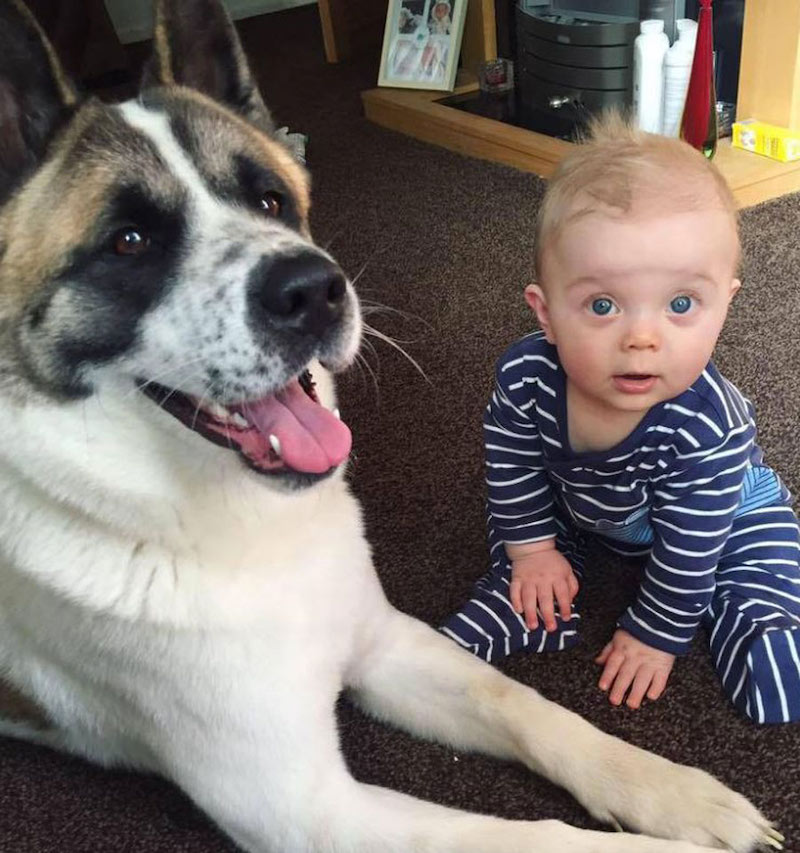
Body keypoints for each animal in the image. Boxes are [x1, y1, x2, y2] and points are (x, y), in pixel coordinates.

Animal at [0, 1, 784, 852]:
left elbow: (529, 708)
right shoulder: (307, 808)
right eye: (130, 241)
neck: (252, 531)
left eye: (270, 201)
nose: (315, 289)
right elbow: (526, 835)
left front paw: (671, 790)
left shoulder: (387, 644)